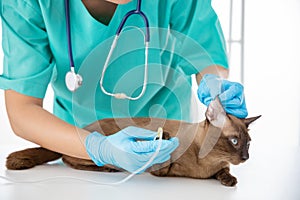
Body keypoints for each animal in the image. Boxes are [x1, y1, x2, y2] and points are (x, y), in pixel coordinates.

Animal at [5, 98, 260, 186]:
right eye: (234, 140)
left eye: (248, 144)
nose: (246, 157)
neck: (207, 161)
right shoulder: (160, 168)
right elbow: (164, 165)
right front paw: (164, 139)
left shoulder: (219, 167)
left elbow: (224, 172)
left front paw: (230, 180)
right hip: (89, 153)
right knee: (70, 159)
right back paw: (108, 168)